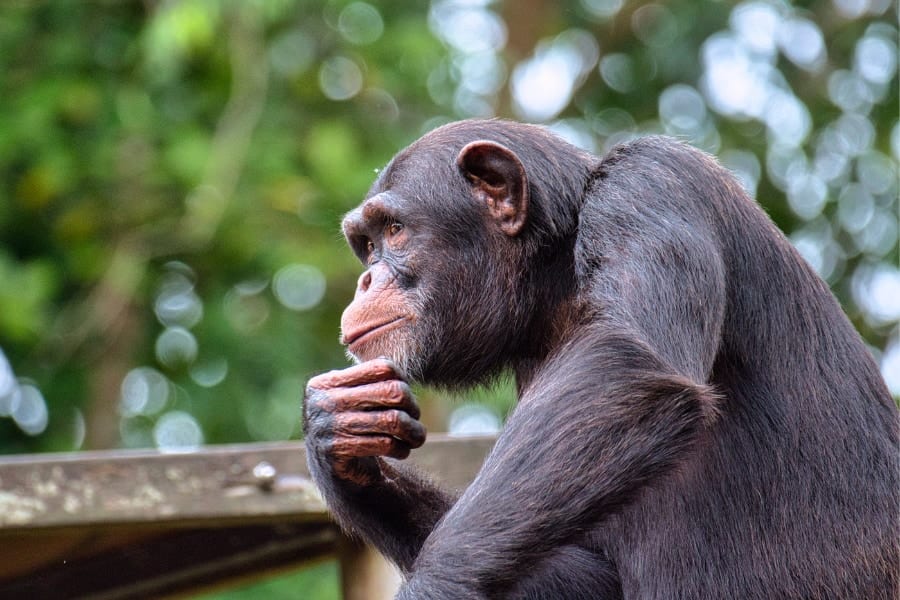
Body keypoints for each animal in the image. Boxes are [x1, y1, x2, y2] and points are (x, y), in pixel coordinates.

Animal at [304, 119, 900, 596]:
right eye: (366, 245)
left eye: (395, 231)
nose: (366, 279)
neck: (557, 268)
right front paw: (338, 436)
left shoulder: (652, 185)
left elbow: (628, 364)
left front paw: (435, 585)